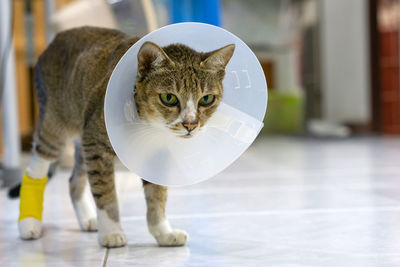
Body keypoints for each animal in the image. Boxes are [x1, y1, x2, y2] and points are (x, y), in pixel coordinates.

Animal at [18, 26, 236, 248]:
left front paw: (163, 232)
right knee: (38, 164)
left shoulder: (156, 155)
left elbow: (157, 195)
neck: (149, 125)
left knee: (73, 181)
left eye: (207, 99)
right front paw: (111, 233)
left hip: (83, 133)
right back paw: (29, 223)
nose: (190, 124)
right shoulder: (96, 145)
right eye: (169, 98)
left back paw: (88, 219)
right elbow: (105, 192)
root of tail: (56, 38)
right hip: (56, 126)